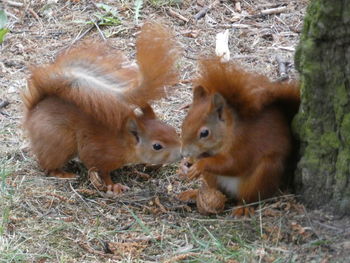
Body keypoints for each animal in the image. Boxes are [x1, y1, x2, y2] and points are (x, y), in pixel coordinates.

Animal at [22, 22, 182, 194]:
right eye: (157, 146)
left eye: (173, 130)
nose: (182, 153)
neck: (122, 141)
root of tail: (33, 111)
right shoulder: (99, 155)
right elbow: (102, 172)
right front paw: (114, 186)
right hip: (59, 142)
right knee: (48, 165)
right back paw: (63, 174)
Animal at [179, 57, 300, 217]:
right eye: (184, 122)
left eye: (204, 133)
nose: (184, 153)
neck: (229, 132)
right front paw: (188, 163)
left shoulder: (245, 144)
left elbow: (233, 164)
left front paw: (200, 164)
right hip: (213, 178)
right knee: (215, 188)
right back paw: (194, 193)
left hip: (265, 172)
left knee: (251, 197)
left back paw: (243, 207)